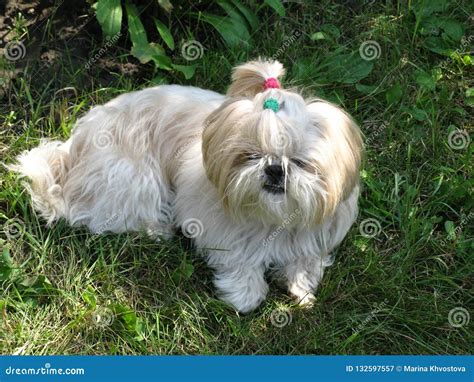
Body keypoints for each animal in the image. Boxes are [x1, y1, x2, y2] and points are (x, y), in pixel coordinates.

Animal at [11, 58, 362, 312]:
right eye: (249, 155)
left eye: (300, 162)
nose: (274, 170)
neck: (271, 219)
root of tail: (73, 151)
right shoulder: (216, 227)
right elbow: (240, 259)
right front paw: (246, 294)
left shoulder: (314, 234)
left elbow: (305, 261)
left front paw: (301, 288)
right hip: (133, 176)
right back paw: (158, 230)